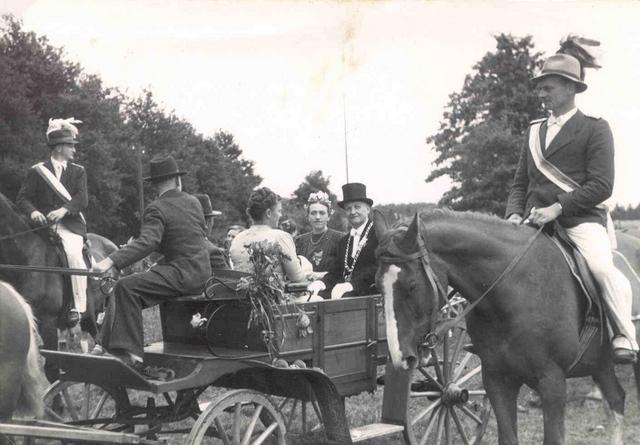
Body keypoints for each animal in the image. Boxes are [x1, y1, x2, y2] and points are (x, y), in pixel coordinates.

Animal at [372, 209, 636, 444]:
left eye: (412, 285)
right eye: (377, 285)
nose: (400, 357)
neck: (515, 290)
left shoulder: (552, 383)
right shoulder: (497, 380)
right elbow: (507, 437)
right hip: (600, 364)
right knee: (616, 399)